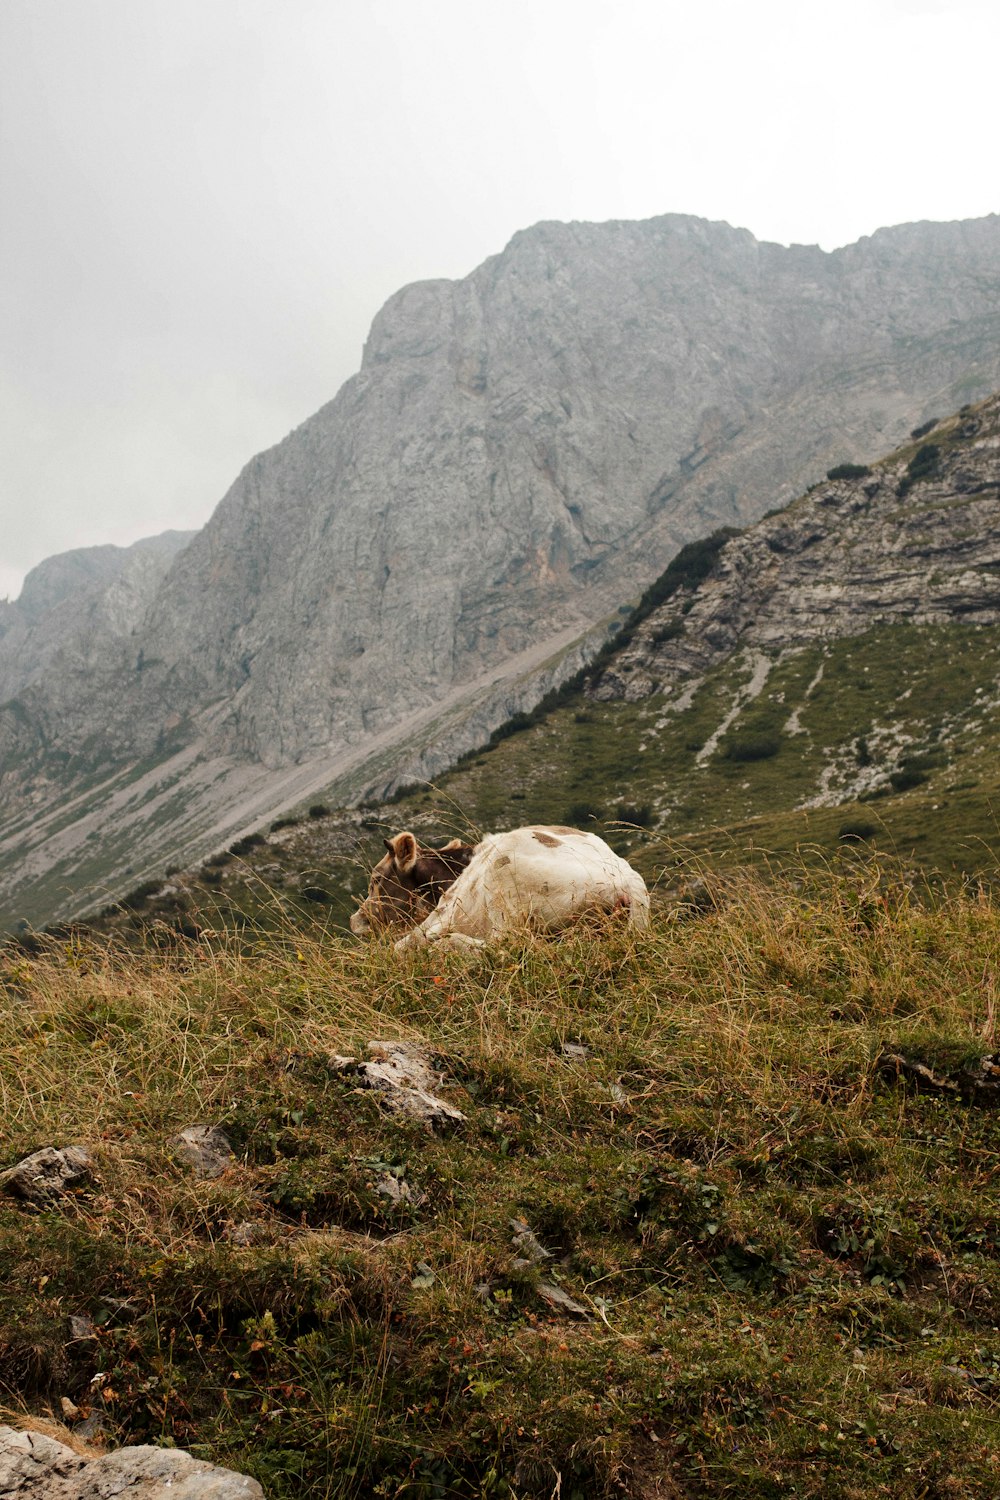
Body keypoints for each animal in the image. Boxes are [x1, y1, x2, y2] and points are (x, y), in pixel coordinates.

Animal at [350, 828, 650, 954]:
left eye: (376, 878)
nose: (355, 920)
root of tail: (628, 882)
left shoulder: (443, 913)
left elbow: (401, 945)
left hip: (504, 880)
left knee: (506, 943)